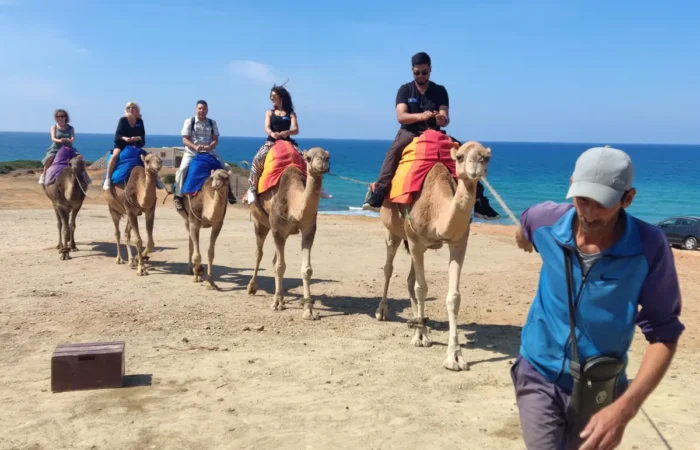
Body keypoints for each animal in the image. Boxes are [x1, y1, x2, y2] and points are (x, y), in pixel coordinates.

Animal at [247, 147, 331, 320]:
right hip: (260, 223)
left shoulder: (309, 229)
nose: (322, 164)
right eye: (308, 158)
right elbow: (280, 266)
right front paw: (276, 304)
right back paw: (252, 288)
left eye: (328, 157)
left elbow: (306, 269)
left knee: (273, 259)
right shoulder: (277, 229)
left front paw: (308, 310)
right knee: (259, 253)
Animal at [377, 140, 492, 371]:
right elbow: (422, 289)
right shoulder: (415, 241)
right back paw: (384, 312)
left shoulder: (458, 243)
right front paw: (420, 337)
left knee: (410, 279)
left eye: (487, 157)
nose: (476, 166)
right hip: (393, 231)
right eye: (460, 157)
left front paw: (455, 357)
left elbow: (453, 297)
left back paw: (417, 320)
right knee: (388, 268)